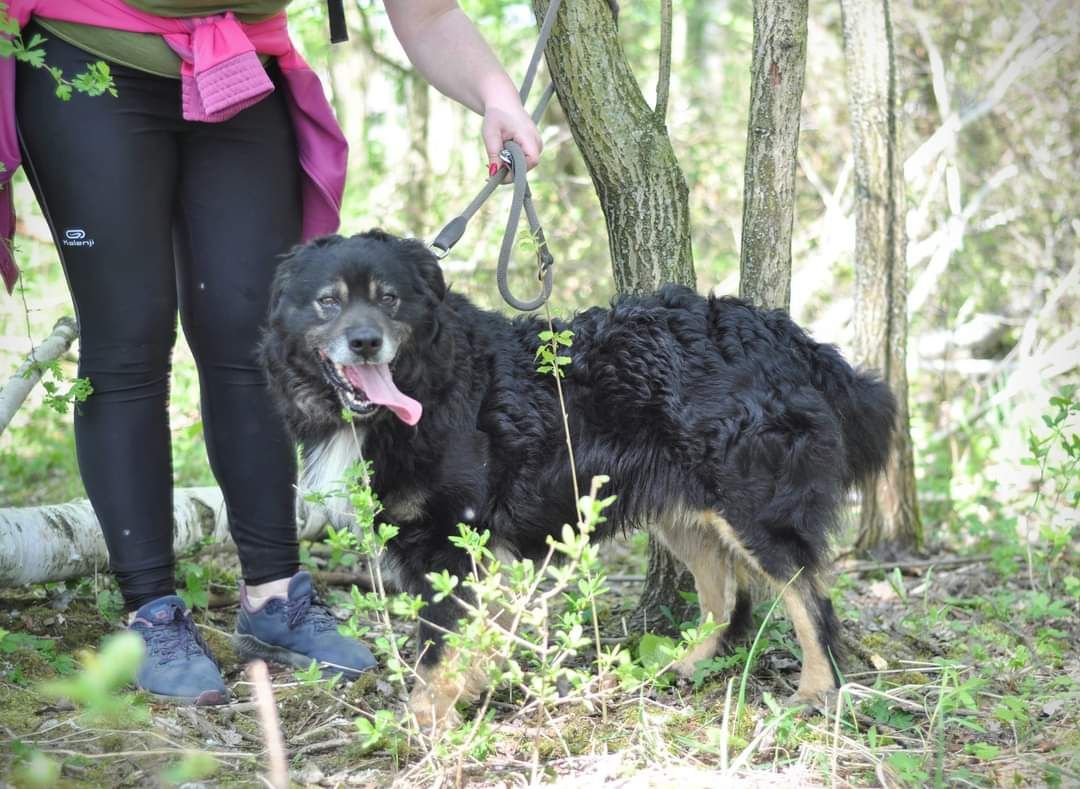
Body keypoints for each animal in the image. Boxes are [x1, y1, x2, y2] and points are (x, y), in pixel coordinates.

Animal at [261, 229, 894, 721]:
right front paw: (474, 694)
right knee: (727, 603)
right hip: (685, 511)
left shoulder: (453, 540)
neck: (427, 382)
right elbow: (473, 639)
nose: (365, 342)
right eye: (327, 302)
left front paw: (427, 725)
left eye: (390, 300)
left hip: (755, 509)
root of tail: (790, 338)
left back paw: (816, 693)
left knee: (810, 602)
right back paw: (681, 667)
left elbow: (437, 649)